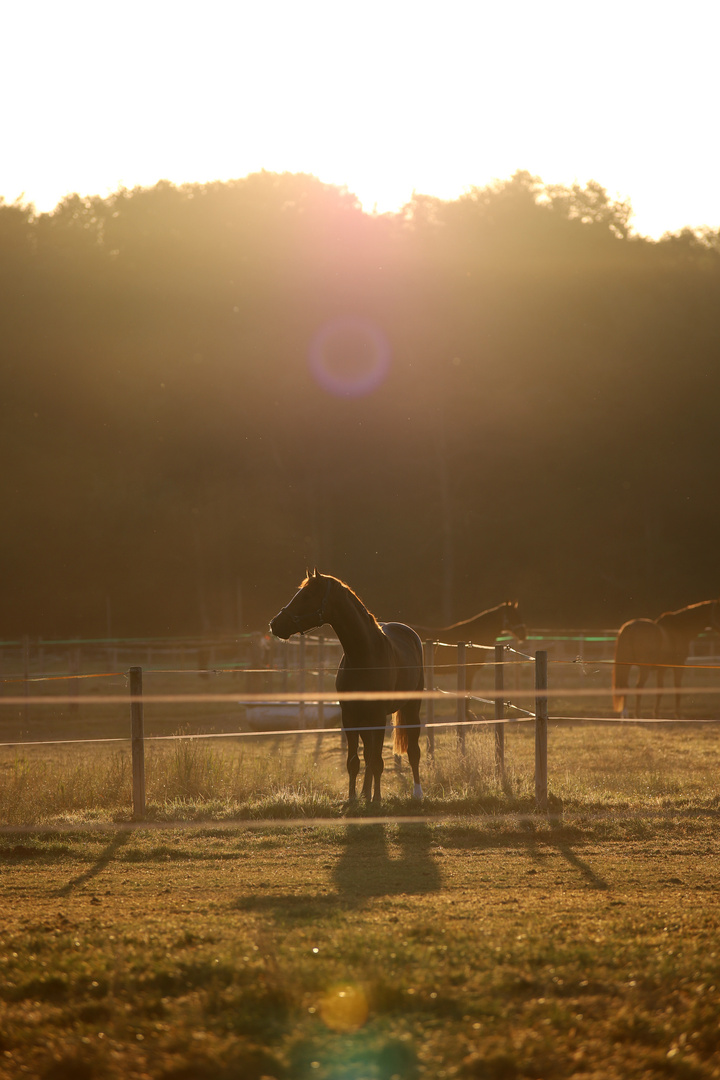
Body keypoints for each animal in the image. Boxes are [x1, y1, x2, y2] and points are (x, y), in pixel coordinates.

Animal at [269, 574, 427, 803]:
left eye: (306, 596)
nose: (275, 624)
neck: (364, 655)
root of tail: (409, 633)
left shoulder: (378, 717)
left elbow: (378, 761)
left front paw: (376, 800)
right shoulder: (350, 716)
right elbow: (355, 761)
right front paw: (353, 799)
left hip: (411, 707)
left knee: (413, 750)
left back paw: (417, 793)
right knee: (368, 754)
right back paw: (365, 793)